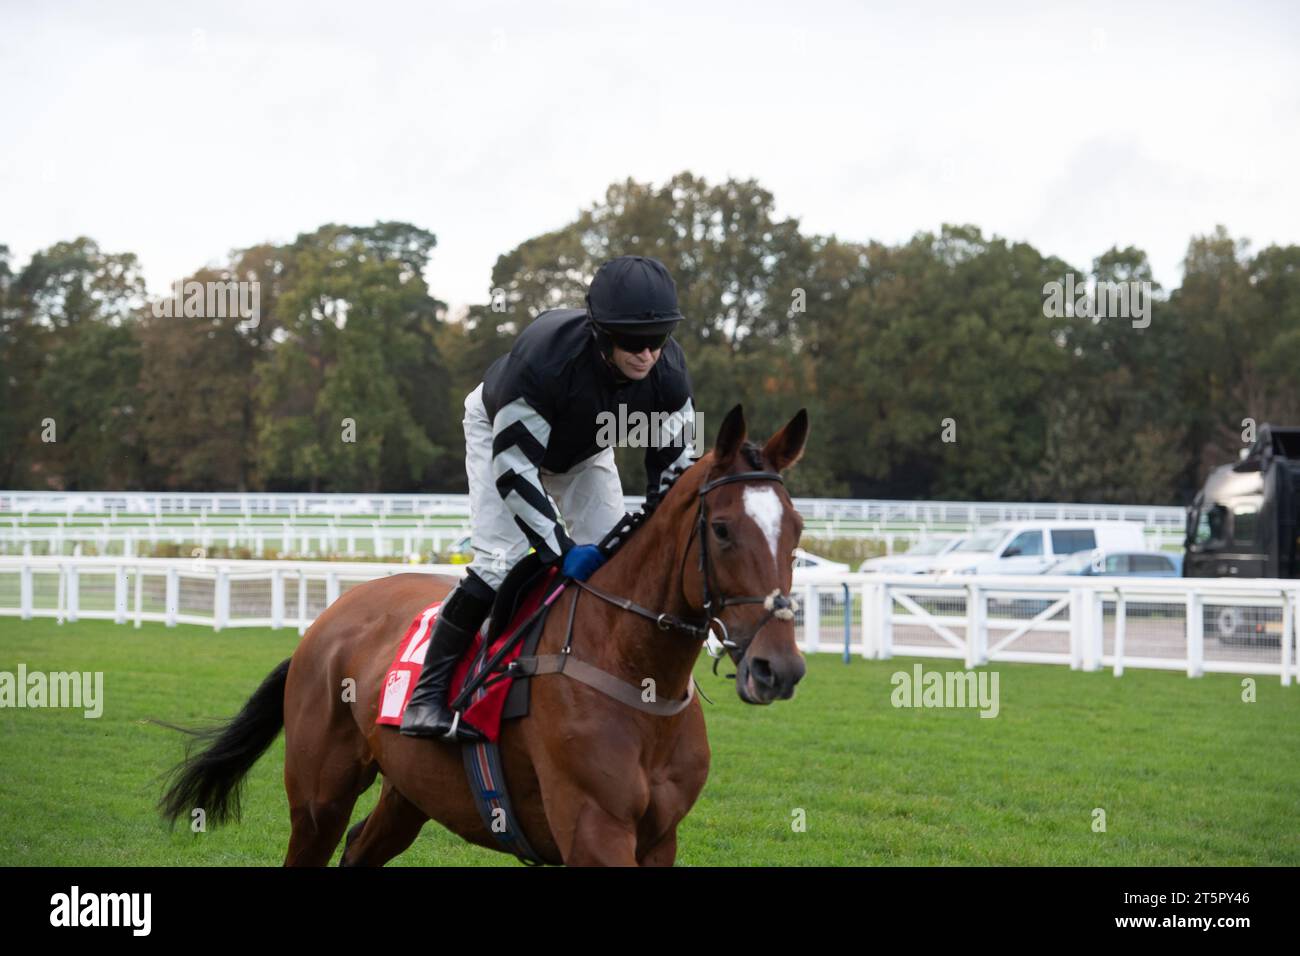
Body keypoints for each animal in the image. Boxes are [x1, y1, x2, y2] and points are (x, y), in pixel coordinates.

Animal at [157, 403, 806, 868]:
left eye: (796, 529)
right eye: (722, 529)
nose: (779, 668)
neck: (635, 673)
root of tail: (327, 619)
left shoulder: (659, 839)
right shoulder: (594, 830)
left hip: (410, 789)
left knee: (362, 846)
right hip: (320, 795)